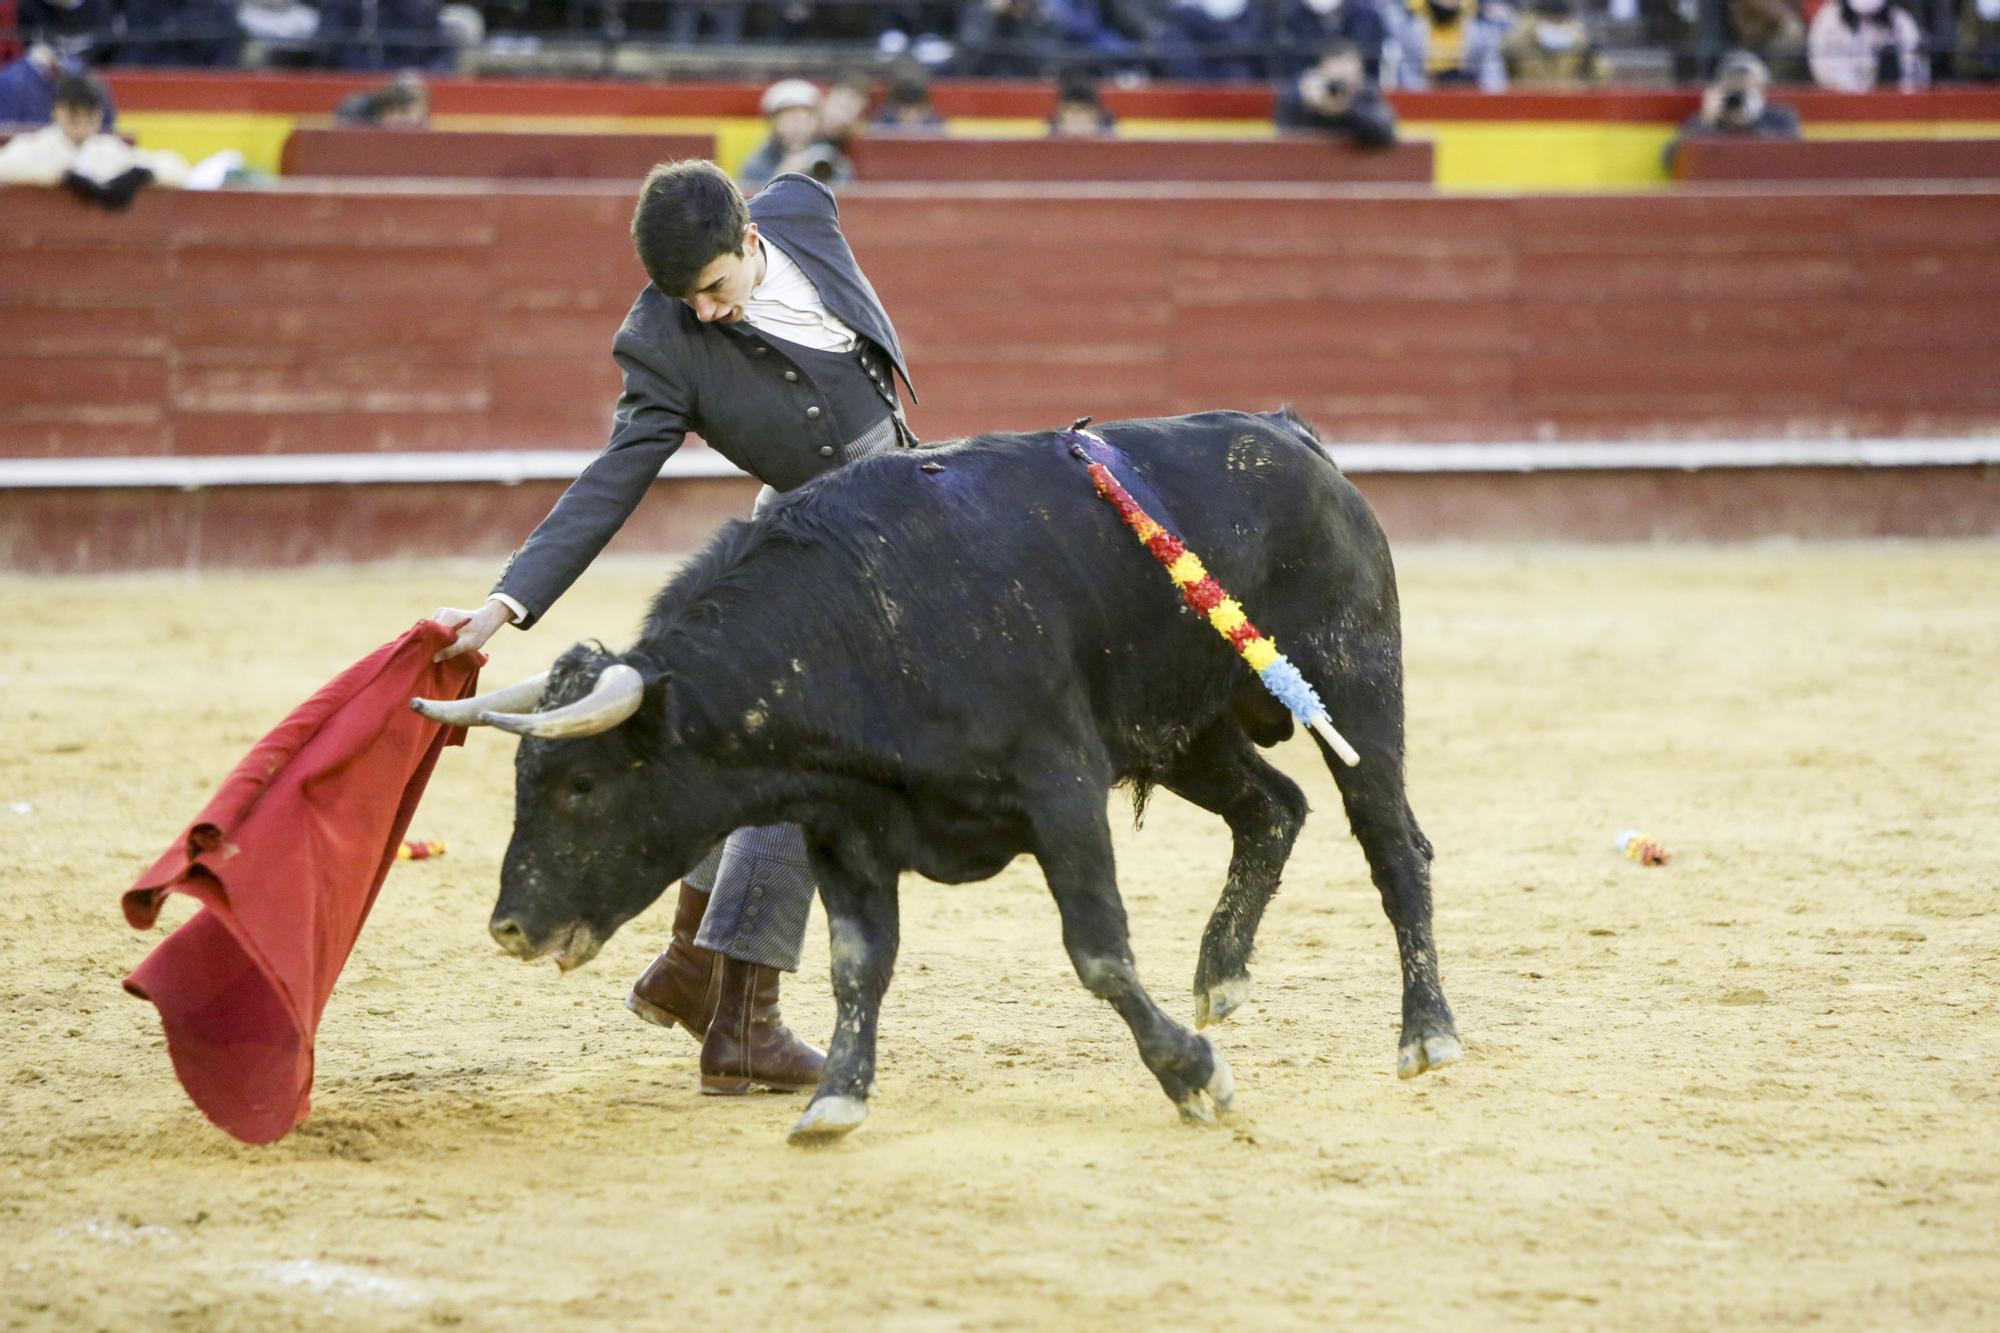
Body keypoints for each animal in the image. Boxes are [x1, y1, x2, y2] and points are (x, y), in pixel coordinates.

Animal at [426, 408, 1456, 1144]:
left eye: (583, 785)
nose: (509, 926)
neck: (862, 618)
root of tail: (1292, 437)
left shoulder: (1060, 786)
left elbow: (1099, 950)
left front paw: (1193, 1077)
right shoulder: (845, 826)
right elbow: (856, 963)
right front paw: (836, 1100)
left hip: (1355, 679)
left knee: (1392, 844)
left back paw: (1427, 1034)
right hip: (1185, 730)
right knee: (1273, 808)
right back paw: (1223, 973)